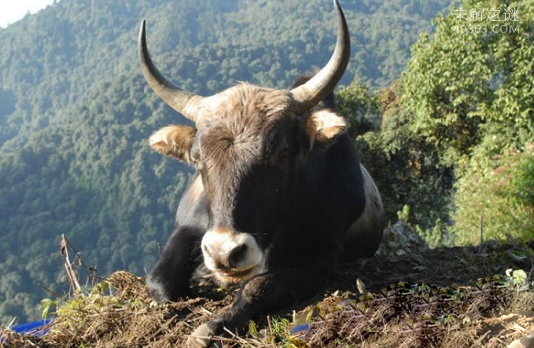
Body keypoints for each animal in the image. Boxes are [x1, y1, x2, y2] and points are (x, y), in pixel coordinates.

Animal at [138, 1, 388, 346]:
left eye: (281, 153)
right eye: (198, 159)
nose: (225, 252)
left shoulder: (321, 256)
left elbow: (258, 286)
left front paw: (211, 326)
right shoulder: (190, 228)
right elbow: (160, 282)